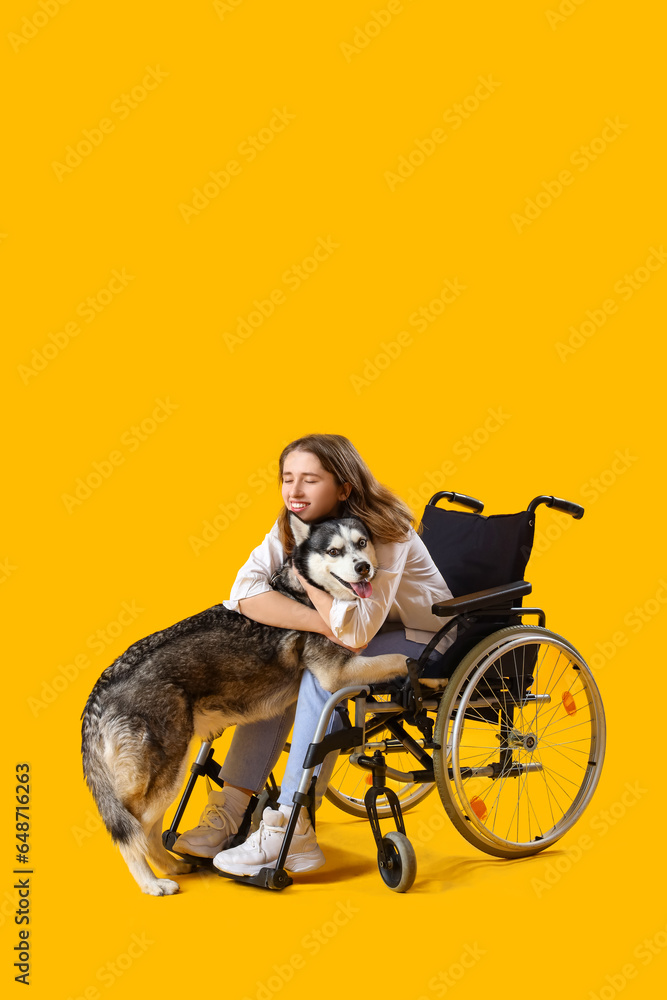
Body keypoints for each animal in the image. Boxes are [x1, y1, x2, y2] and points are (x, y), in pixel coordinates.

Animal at [81, 512, 410, 896]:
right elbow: (398, 658)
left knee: (146, 831)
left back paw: (175, 866)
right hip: (168, 772)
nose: (363, 567)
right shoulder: (336, 674)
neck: (307, 591)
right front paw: (425, 671)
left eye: (361, 543)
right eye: (333, 550)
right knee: (132, 831)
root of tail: (101, 688)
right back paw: (152, 883)